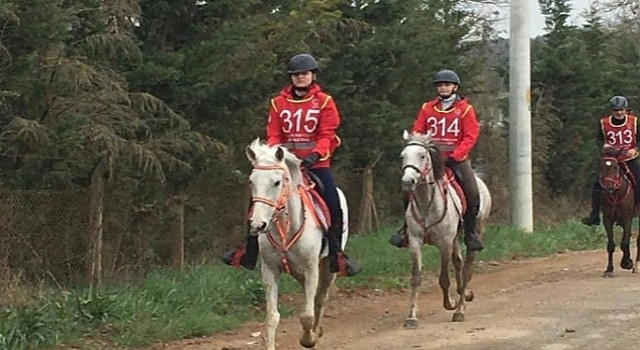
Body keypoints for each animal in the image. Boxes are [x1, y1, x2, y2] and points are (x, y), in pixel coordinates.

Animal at [245, 139, 348, 350]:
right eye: (252, 181)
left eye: (277, 182)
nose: (258, 225)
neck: (286, 227)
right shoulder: (269, 269)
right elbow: (272, 317)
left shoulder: (311, 268)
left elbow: (307, 316)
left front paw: (309, 339)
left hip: (328, 267)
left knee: (320, 298)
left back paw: (316, 332)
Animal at [398, 131, 492, 326]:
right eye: (402, 156)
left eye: (422, 155)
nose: (407, 182)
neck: (427, 204)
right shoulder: (415, 241)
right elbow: (416, 277)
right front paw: (411, 317)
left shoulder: (445, 244)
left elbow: (443, 279)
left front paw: (451, 304)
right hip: (455, 238)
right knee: (459, 262)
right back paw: (464, 294)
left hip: (476, 231)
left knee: (467, 269)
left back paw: (460, 309)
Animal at [596, 149, 636, 278]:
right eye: (601, 166)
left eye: (616, 167)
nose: (608, 187)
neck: (615, 195)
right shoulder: (607, 219)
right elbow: (611, 245)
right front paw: (609, 269)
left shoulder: (627, 218)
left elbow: (624, 242)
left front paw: (627, 263)